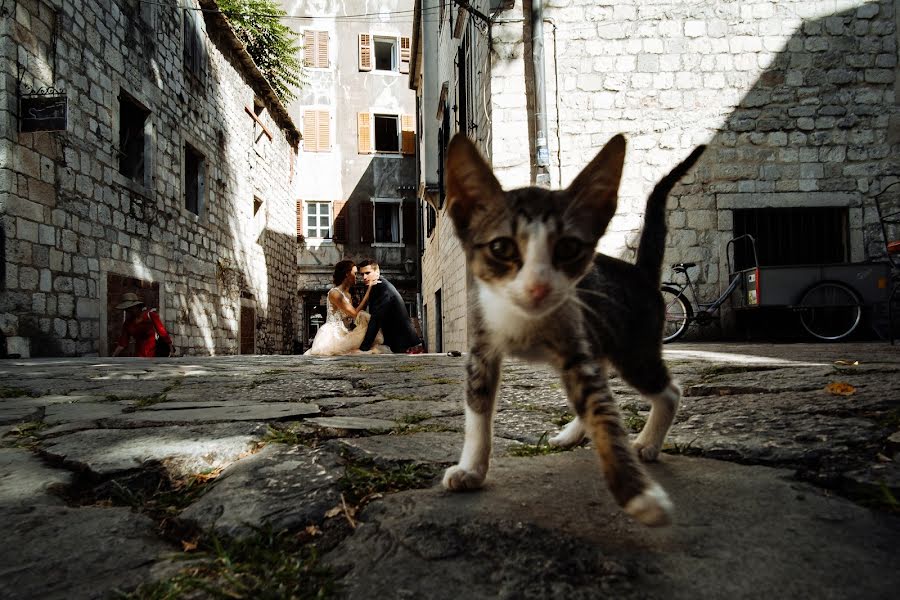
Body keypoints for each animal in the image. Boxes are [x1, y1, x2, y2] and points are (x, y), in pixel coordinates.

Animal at [442, 132, 704, 524]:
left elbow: (604, 415)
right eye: (501, 247)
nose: (538, 287)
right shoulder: (481, 347)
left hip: (634, 351)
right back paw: (572, 434)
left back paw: (648, 443)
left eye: (568, 248)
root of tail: (639, 272)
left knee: (668, 391)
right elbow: (478, 408)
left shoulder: (575, 344)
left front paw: (639, 495)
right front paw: (471, 469)